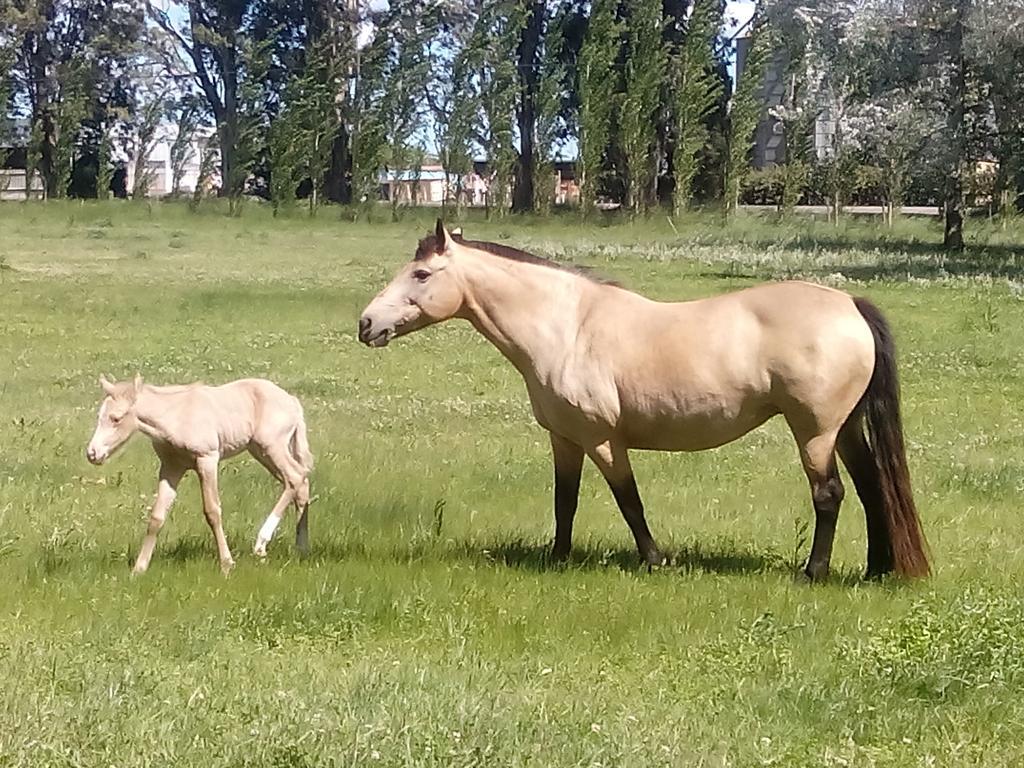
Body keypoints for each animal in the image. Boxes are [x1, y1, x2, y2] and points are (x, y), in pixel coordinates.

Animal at [86, 376, 311, 573]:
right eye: (99, 416)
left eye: (116, 418)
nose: (92, 453)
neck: (176, 415)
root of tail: (292, 401)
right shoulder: (171, 468)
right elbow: (157, 516)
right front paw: (139, 569)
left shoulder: (207, 459)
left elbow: (212, 511)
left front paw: (226, 564)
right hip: (260, 450)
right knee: (301, 483)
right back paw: (301, 549)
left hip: (272, 446)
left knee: (295, 478)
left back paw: (261, 543)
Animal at [358, 222, 929, 581]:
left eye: (421, 275)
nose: (366, 324)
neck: (568, 327)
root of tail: (849, 304)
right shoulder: (565, 438)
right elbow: (565, 500)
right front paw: (557, 558)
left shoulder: (603, 439)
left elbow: (627, 500)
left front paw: (655, 560)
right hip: (844, 429)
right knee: (871, 486)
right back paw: (877, 569)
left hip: (814, 431)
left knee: (829, 494)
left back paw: (815, 572)